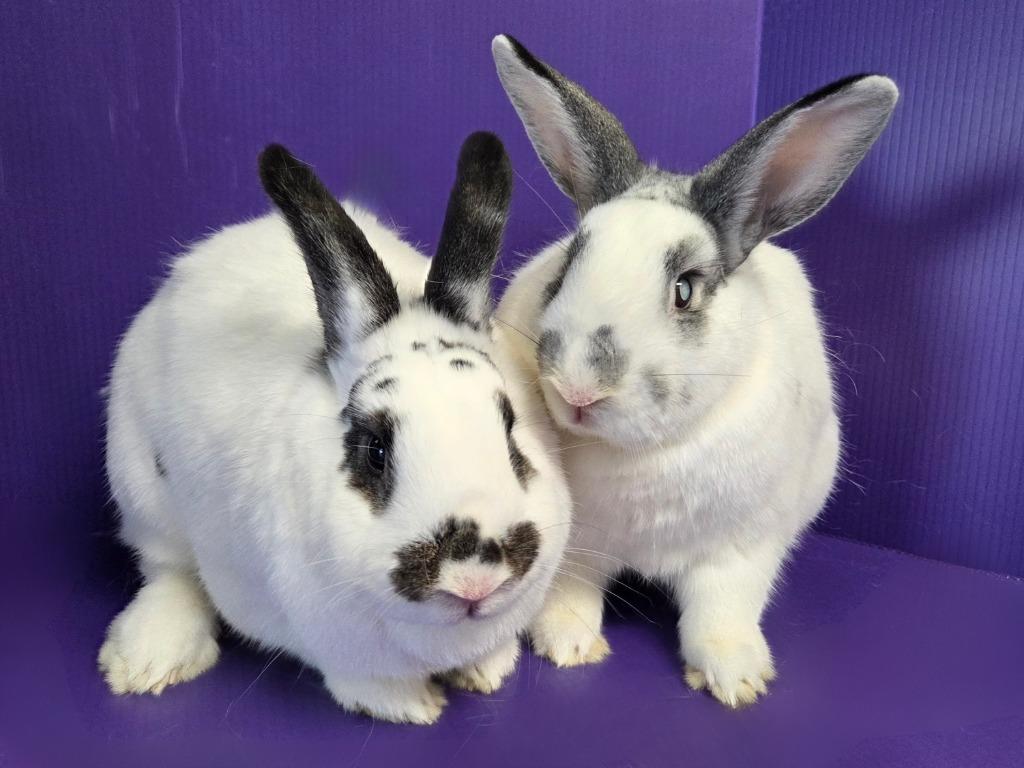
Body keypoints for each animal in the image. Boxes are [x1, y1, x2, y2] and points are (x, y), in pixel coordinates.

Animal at [97, 131, 572, 725]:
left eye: (509, 429)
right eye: (375, 449)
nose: (474, 577)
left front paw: (487, 671)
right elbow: (365, 682)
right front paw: (415, 707)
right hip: (141, 489)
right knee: (168, 569)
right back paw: (145, 661)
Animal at [491, 34, 898, 707]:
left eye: (685, 289)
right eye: (568, 264)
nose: (577, 389)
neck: (643, 453)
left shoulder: (743, 547)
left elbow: (720, 610)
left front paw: (737, 678)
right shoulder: (576, 544)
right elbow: (570, 590)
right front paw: (567, 646)